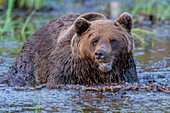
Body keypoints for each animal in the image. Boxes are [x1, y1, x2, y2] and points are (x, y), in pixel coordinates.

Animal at [5, 12, 139, 86]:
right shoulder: (66, 70)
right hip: (30, 59)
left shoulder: (125, 71)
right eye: (94, 41)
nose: (100, 53)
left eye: (112, 40)